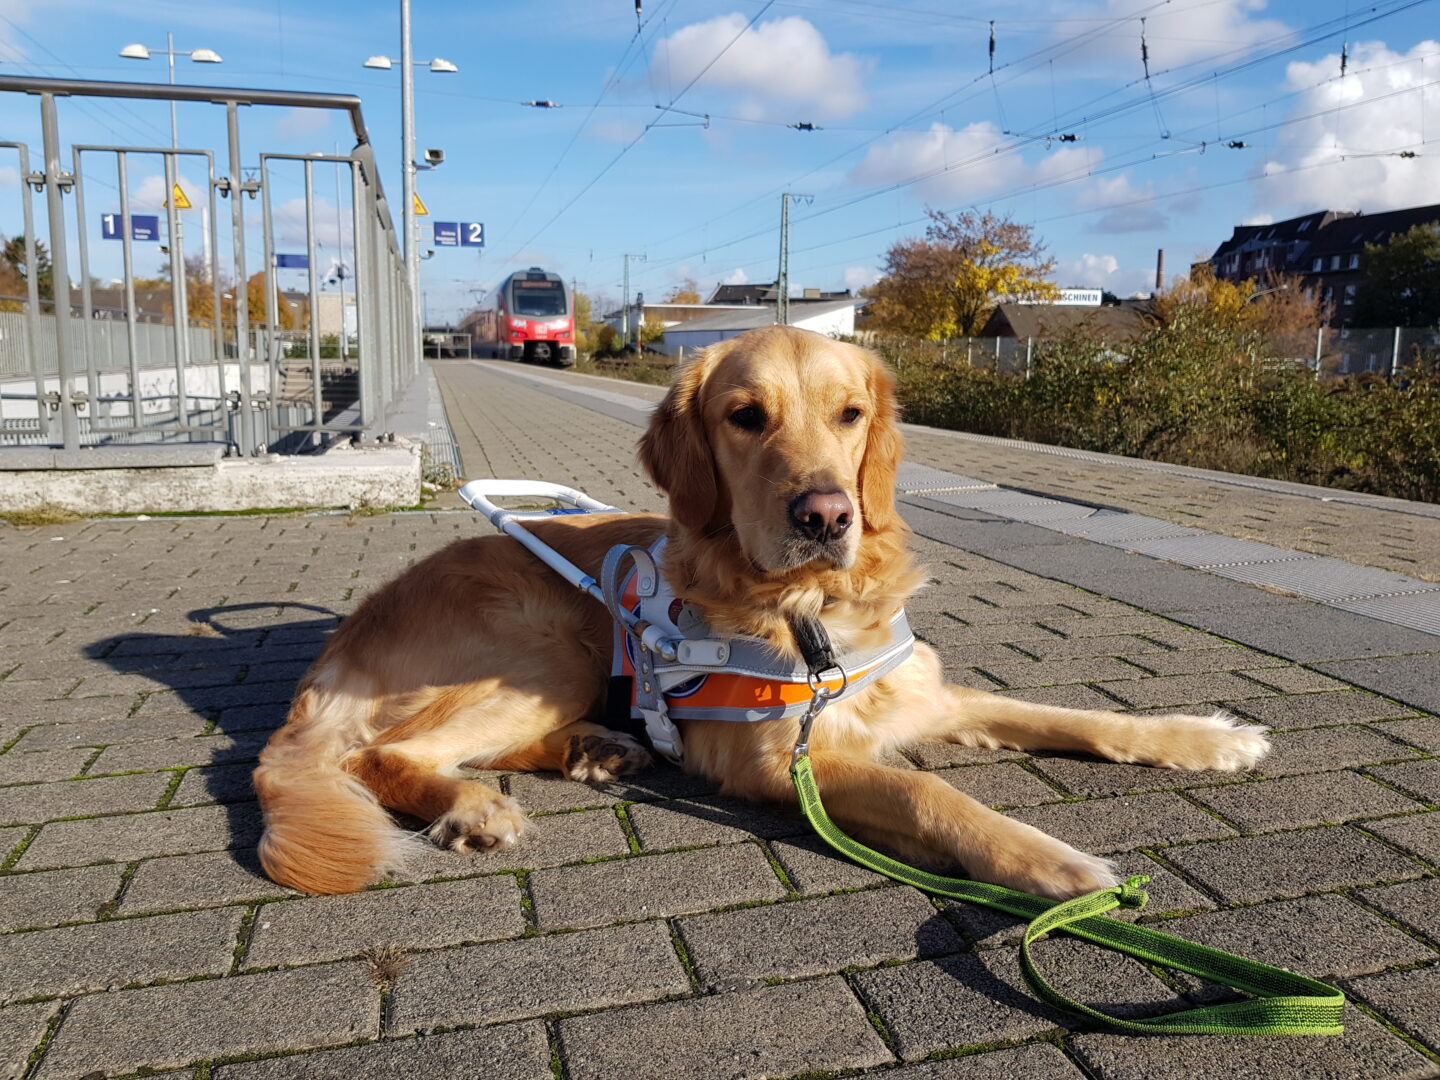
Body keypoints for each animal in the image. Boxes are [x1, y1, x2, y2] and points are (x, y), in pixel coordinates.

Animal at [254, 325, 1269, 897]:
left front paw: (1204, 737)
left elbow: (1071, 714)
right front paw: (1055, 865)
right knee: (381, 756)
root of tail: (338, 645)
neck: (813, 610)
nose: (826, 515)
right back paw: (476, 807)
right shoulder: (780, 762)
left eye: (851, 413)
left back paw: (597, 749)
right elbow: (929, 791)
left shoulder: (927, 696)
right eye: (746, 416)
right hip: (549, 641)